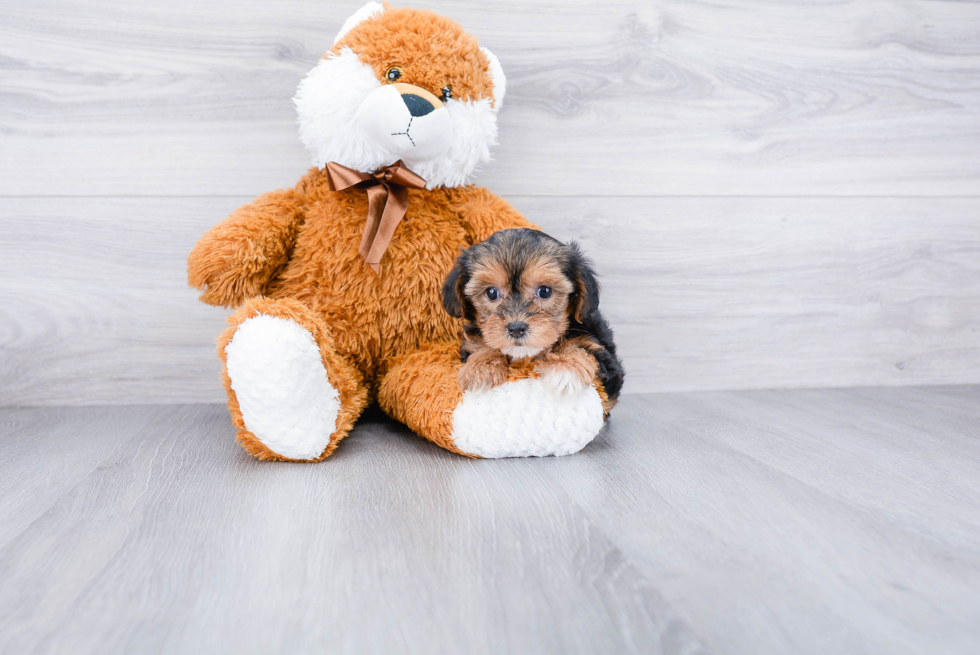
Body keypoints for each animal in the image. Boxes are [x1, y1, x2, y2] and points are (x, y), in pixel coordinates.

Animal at [440, 228, 624, 408]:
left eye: (544, 291)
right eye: (491, 293)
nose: (516, 329)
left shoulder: (605, 357)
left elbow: (580, 344)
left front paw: (565, 368)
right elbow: (480, 343)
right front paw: (480, 368)